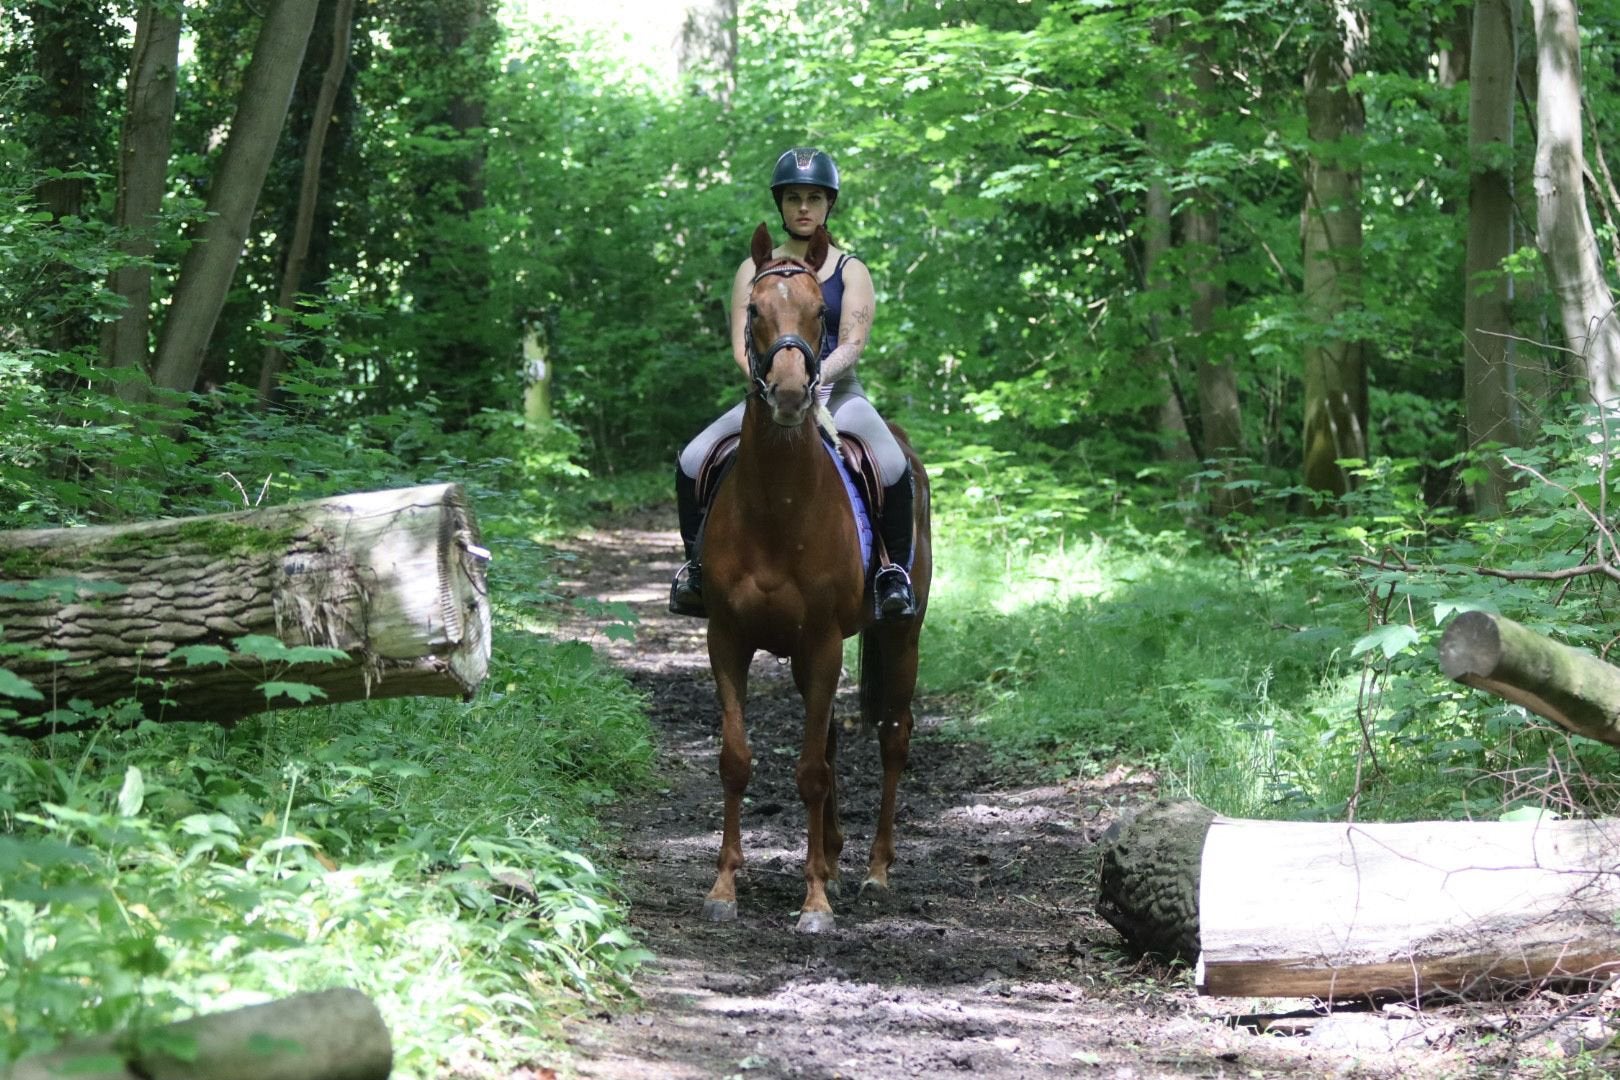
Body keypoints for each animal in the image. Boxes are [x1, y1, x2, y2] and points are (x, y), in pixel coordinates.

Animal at [697, 222, 932, 934]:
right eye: (753, 311)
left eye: (821, 315)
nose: (791, 391)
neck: (779, 504)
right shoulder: (727, 638)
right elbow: (738, 760)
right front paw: (725, 888)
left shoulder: (826, 641)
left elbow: (809, 771)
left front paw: (816, 904)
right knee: (828, 737)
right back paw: (830, 853)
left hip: (900, 635)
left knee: (892, 736)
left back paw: (875, 872)